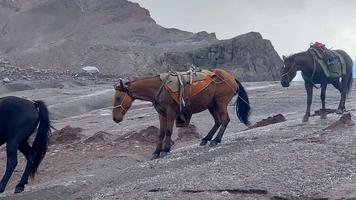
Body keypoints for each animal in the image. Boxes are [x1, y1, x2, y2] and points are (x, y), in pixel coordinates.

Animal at [112, 69, 250, 159]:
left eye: (118, 98)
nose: (115, 118)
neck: (158, 88)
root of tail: (232, 78)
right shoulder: (161, 114)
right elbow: (161, 133)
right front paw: (156, 152)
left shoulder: (171, 112)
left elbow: (168, 131)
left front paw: (165, 150)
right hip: (212, 105)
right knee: (218, 121)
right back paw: (206, 139)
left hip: (221, 103)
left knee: (225, 120)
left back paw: (216, 140)